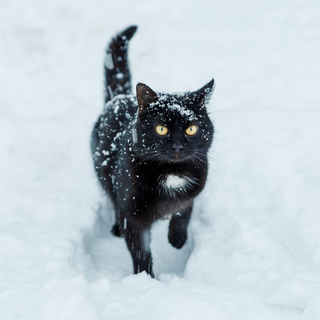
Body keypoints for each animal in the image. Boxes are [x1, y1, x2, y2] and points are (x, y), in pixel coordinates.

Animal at [90, 25, 215, 278]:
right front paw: (144, 279)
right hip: (105, 176)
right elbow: (140, 251)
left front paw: (177, 238)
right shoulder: (133, 216)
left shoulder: (194, 186)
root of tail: (120, 96)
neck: (172, 174)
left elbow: (184, 210)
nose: (177, 145)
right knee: (113, 201)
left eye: (191, 128)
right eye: (161, 128)